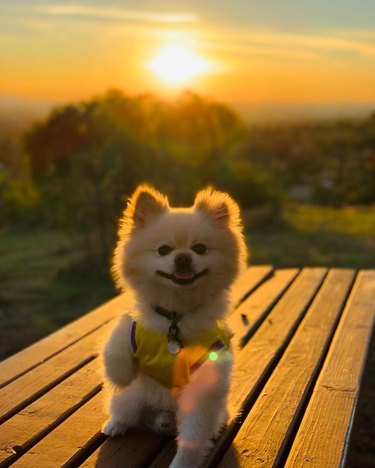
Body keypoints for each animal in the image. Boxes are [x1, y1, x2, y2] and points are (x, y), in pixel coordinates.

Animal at [101, 185, 248, 466]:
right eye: (163, 250)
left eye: (200, 249)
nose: (182, 257)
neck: (175, 317)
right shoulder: (135, 328)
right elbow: (116, 345)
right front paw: (122, 373)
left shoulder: (204, 385)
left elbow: (192, 436)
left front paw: (183, 462)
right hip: (132, 398)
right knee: (125, 409)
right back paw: (117, 424)